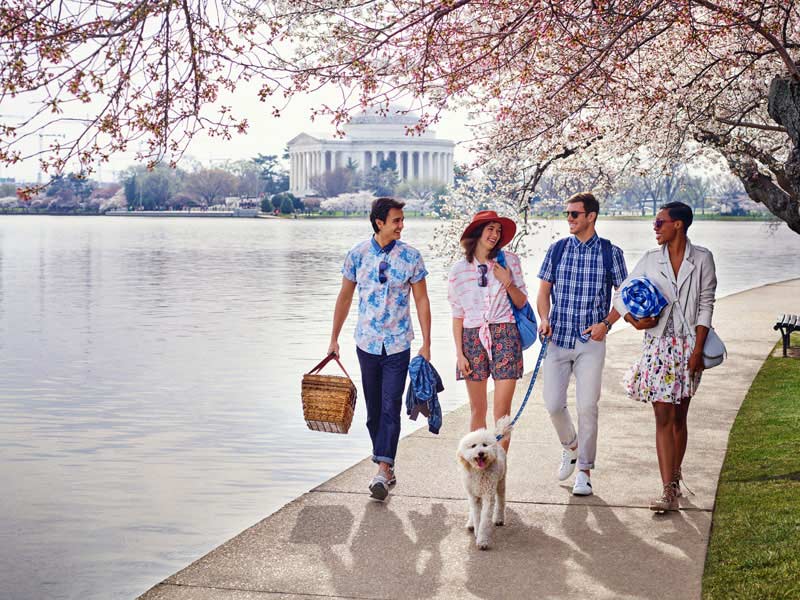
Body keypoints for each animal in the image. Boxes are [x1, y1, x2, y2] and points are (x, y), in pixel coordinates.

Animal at [456, 418, 512, 548]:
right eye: (473, 446)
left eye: (485, 445)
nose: (481, 453)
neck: (479, 471)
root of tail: (496, 439)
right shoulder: (474, 497)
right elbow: (477, 515)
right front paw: (476, 530)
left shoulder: (488, 496)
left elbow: (484, 520)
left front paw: (482, 540)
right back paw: (471, 523)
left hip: (501, 482)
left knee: (501, 500)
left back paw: (499, 518)